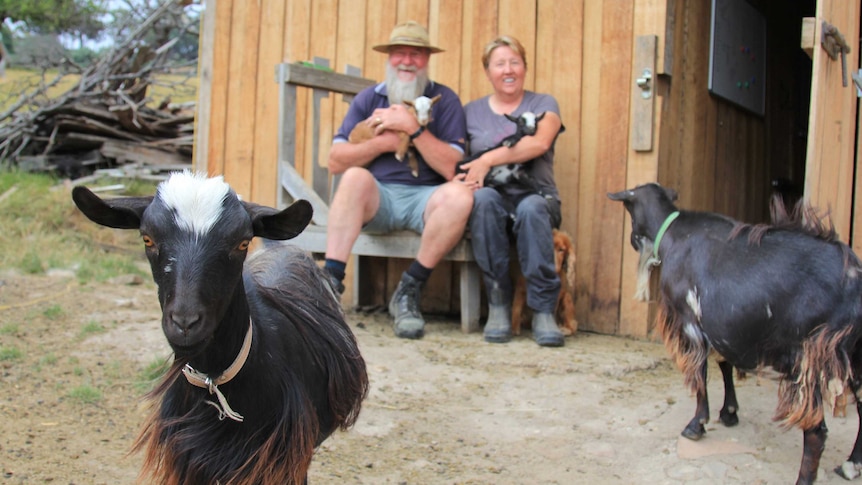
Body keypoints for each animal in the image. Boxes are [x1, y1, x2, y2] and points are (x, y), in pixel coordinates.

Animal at [608, 182, 862, 484]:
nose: (633, 240)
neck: (673, 233)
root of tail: (855, 279)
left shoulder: (690, 321)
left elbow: (700, 372)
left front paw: (697, 424)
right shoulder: (721, 323)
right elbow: (724, 363)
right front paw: (729, 412)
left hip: (808, 358)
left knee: (815, 430)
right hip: (856, 356)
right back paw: (851, 464)